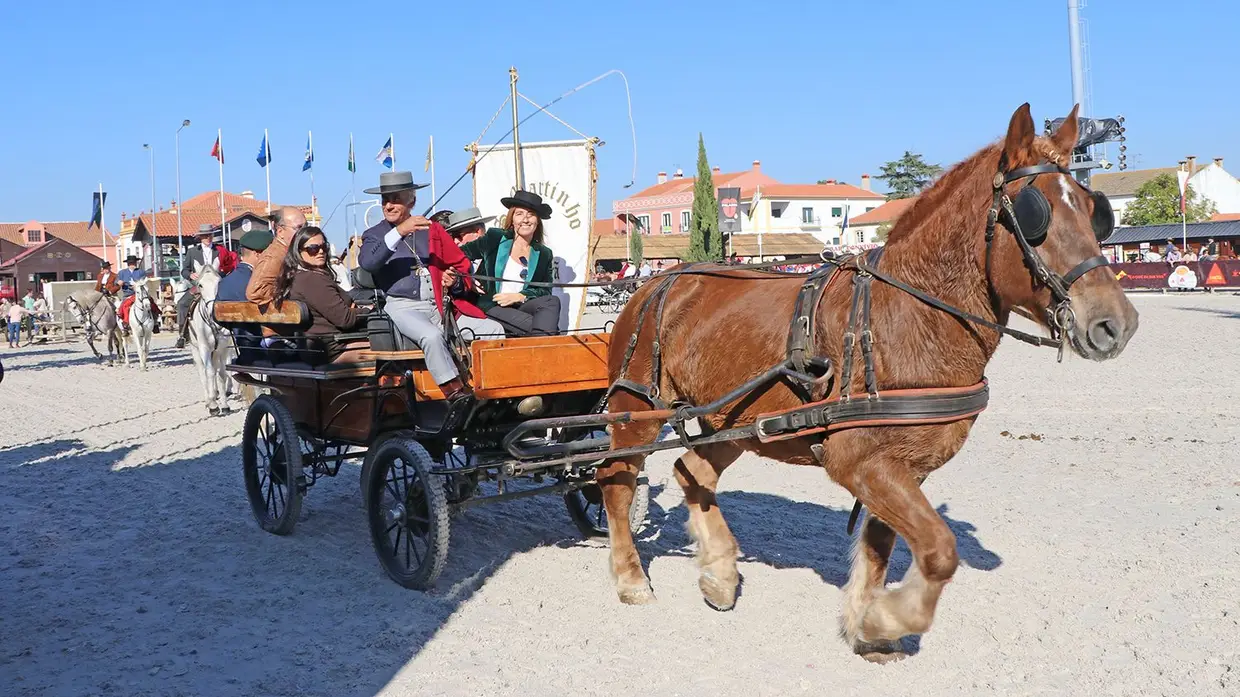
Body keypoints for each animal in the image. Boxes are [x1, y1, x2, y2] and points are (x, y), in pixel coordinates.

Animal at [186, 260, 233, 411]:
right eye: (200, 284)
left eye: (219, 282)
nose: (213, 311)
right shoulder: (204, 348)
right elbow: (210, 372)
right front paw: (213, 405)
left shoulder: (222, 348)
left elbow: (222, 374)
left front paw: (224, 404)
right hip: (196, 350)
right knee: (203, 373)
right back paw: (208, 398)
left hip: (215, 352)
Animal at [595, 102, 1135, 654]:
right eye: (1034, 214)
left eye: (1092, 210)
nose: (1115, 323)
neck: (909, 314)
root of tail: (654, 283)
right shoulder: (859, 462)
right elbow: (939, 549)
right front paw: (889, 620)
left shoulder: (901, 469)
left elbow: (881, 548)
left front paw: (868, 625)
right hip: (639, 410)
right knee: (615, 481)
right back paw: (632, 578)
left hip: (736, 421)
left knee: (692, 473)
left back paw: (720, 574)